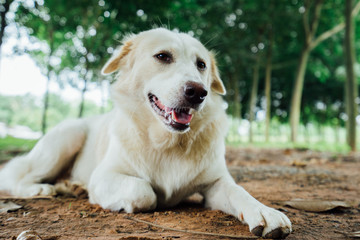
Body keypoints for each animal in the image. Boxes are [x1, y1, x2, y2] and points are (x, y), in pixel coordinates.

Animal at [0, 27, 292, 238]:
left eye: (201, 65)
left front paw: (265, 212)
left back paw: (70, 186)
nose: (198, 92)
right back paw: (41, 189)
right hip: (66, 138)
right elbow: (144, 192)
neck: (168, 143)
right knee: (17, 176)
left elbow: (239, 191)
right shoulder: (104, 176)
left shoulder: (216, 183)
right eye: (163, 56)